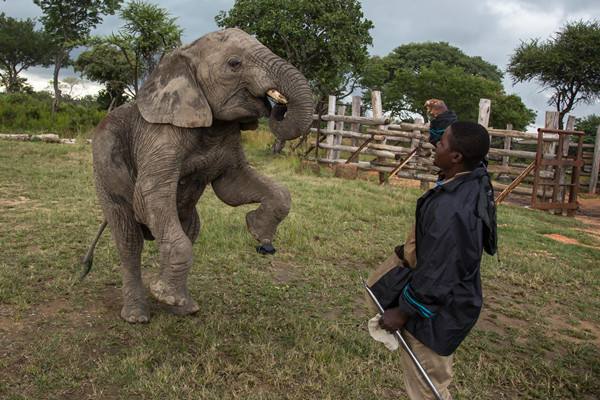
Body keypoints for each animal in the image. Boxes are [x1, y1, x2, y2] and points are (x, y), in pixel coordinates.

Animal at [81, 28, 314, 323]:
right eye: (234, 63)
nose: (278, 106)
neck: (184, 54)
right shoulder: (160, 134)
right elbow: (149, 195)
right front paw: (163, 294)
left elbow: (234, 186)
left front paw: (259, 235)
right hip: (104, 172)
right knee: (129, 239)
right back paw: (138, 315)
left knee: (189, 229)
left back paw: (183, 307)